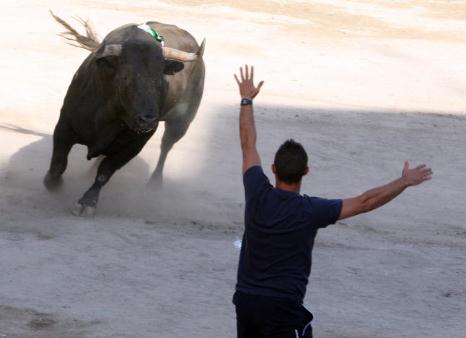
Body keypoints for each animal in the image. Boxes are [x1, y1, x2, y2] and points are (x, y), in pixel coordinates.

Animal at [45, 13, 206, 217]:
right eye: (125, 77)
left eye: (159, 79)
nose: (148, 120)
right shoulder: (65, 125)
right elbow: (59, 163)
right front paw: (53, 183)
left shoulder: (135, 144)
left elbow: (105, 172)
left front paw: (87, 202)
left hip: (182, 121)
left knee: (166, 146)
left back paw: (155, 183)